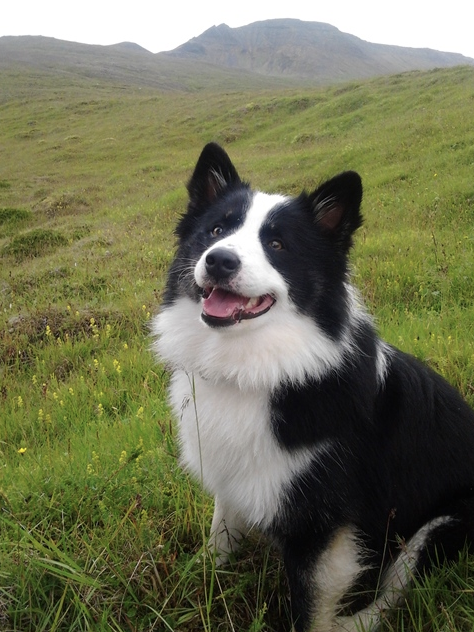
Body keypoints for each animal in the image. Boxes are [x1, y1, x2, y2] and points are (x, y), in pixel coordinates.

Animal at [153, 143, 474, 632]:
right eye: (217, 230)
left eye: (278, 245)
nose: (218, 260)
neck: (257, 369)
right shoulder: (231, 477)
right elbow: (219, 538)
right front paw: (204, 581)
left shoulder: (322, 528)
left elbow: (309, 608)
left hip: (438, 530)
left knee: (387, 599)